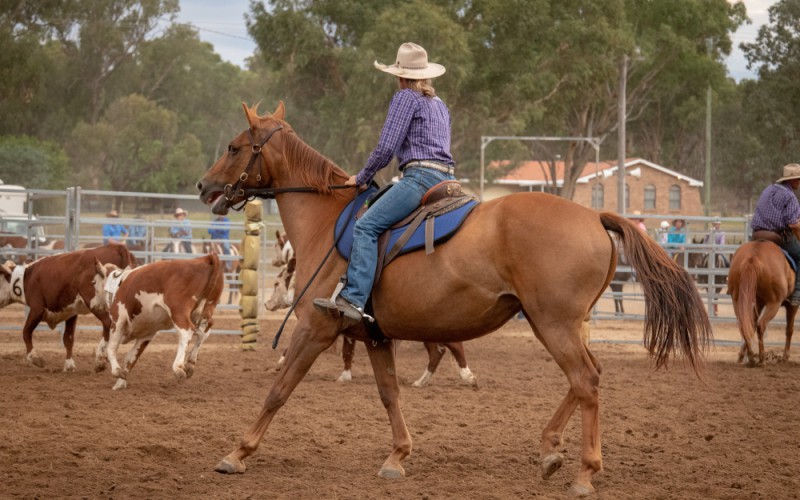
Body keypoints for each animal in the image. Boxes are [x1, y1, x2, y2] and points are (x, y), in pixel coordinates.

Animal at [0, 244, 138, 370]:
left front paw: (34, 358)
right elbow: (68, 338)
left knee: (108, 322)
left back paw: (100, 358)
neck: (27, 277)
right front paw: (69, 364)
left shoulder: (36, 309)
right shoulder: (71, 312)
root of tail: (117, 247)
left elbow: (26, 332)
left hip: (95, 302)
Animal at [99, 254, 227, 390]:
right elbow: (131, 358)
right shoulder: (147, 334)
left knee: (186, 331)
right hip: (208, 308)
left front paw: (116, 371)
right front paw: (120, 382)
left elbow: (111, 348)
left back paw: (178, 367)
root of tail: (206, 258)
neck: (121, 283)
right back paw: (190, 363)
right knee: (204, 331)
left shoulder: (118, 320)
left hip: (178, 309)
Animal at [197, 101, 708, 496]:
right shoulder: (376, 337)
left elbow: (278, 391)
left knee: (585, 381)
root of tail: (594, 215)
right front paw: (398, 456)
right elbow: (389, 394)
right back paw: (549, 450)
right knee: (587, 379)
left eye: (234, 146)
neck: (329, 223)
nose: (204, 186)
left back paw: (583, 473)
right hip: (555, 323)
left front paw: (236, 453)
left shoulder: (315, 329)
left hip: (554, 323)